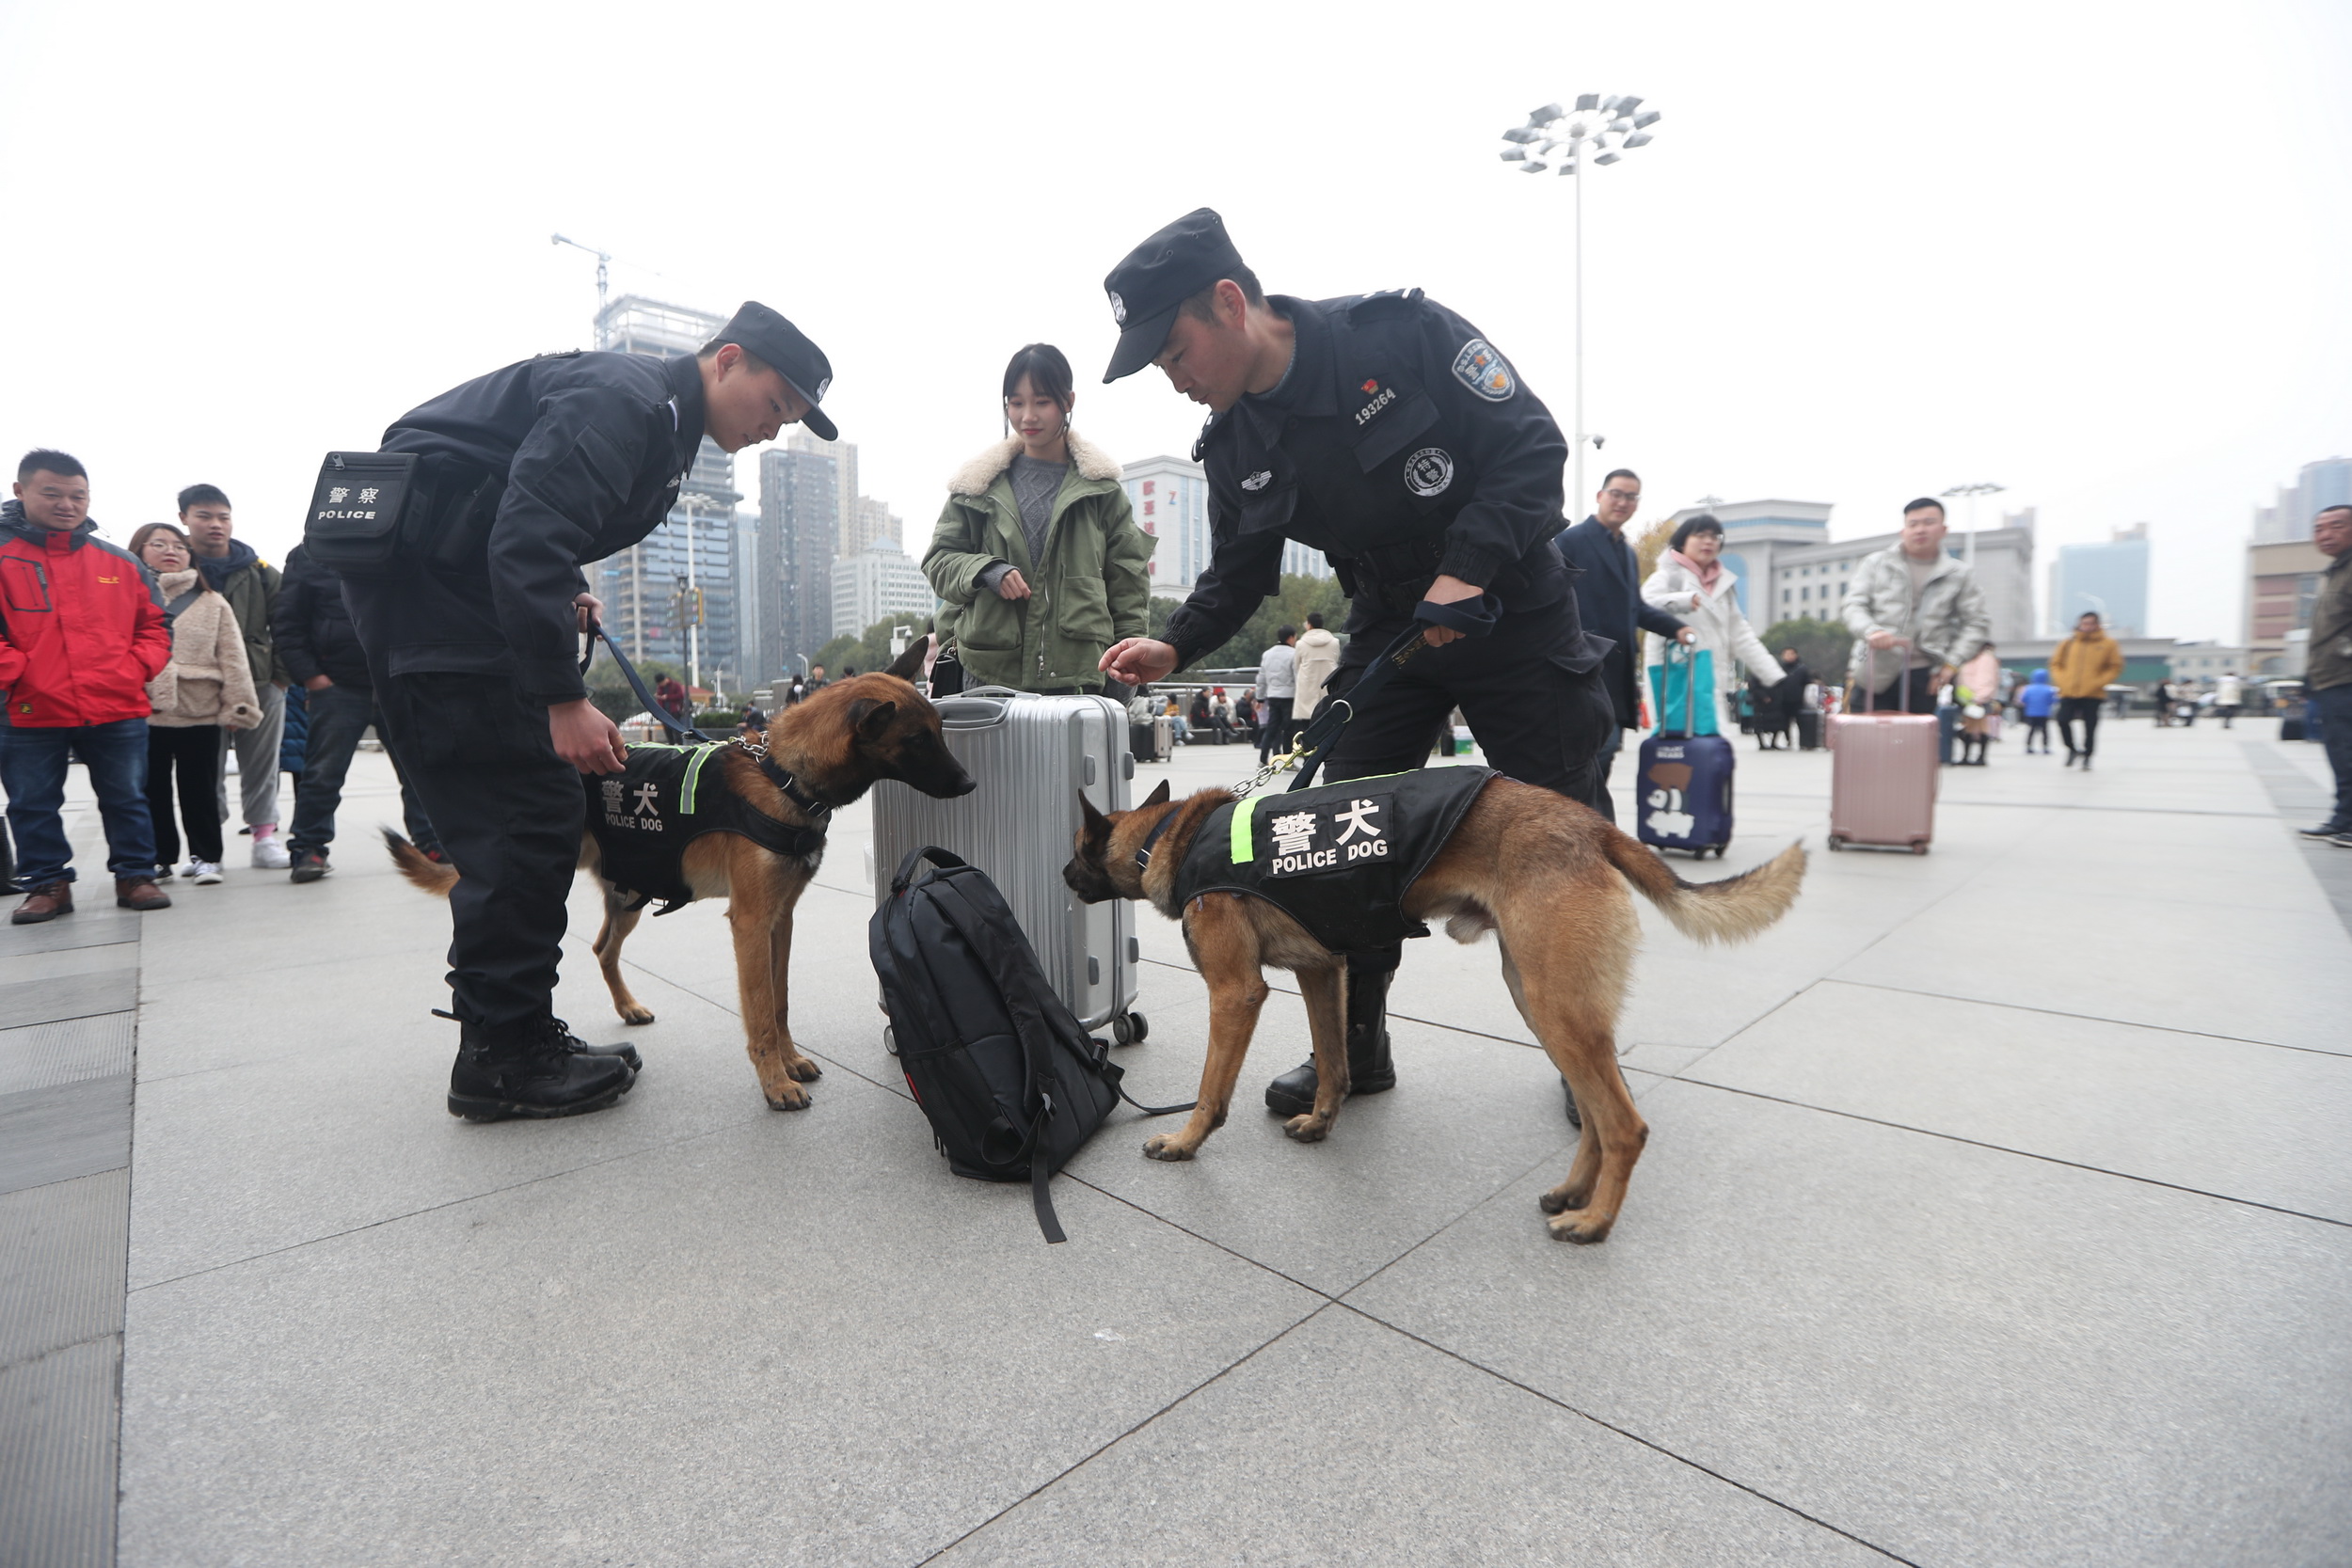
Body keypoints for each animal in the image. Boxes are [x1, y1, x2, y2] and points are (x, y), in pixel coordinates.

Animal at [388, 639, 974, 1114]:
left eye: (939, 732)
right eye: (919, 740)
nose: (969, 784)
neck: (782, 776)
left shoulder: (779, 920)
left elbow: (780, 1000)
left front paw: (790, 1061)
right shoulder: (750, 923)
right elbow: (761, 1010)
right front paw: (774, 1082)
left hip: (626, 893)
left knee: (602, 948)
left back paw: (627, 1007)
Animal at [1058, 780, 1806, 1241]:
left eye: (1073, 853)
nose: (1062, 878)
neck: (1170, 834)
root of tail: (1593, 825)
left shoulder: (1235, 992)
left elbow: (1213, 1089)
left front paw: (1186, 1142)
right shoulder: (1322, 973)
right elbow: (1335, 1063)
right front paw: (1322, 1120)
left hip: (1554, 1007)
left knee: (1625, 1123)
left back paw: (1593, 1222)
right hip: (1543, 1003)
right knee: (1599, 1108)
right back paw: (1573, 1193)